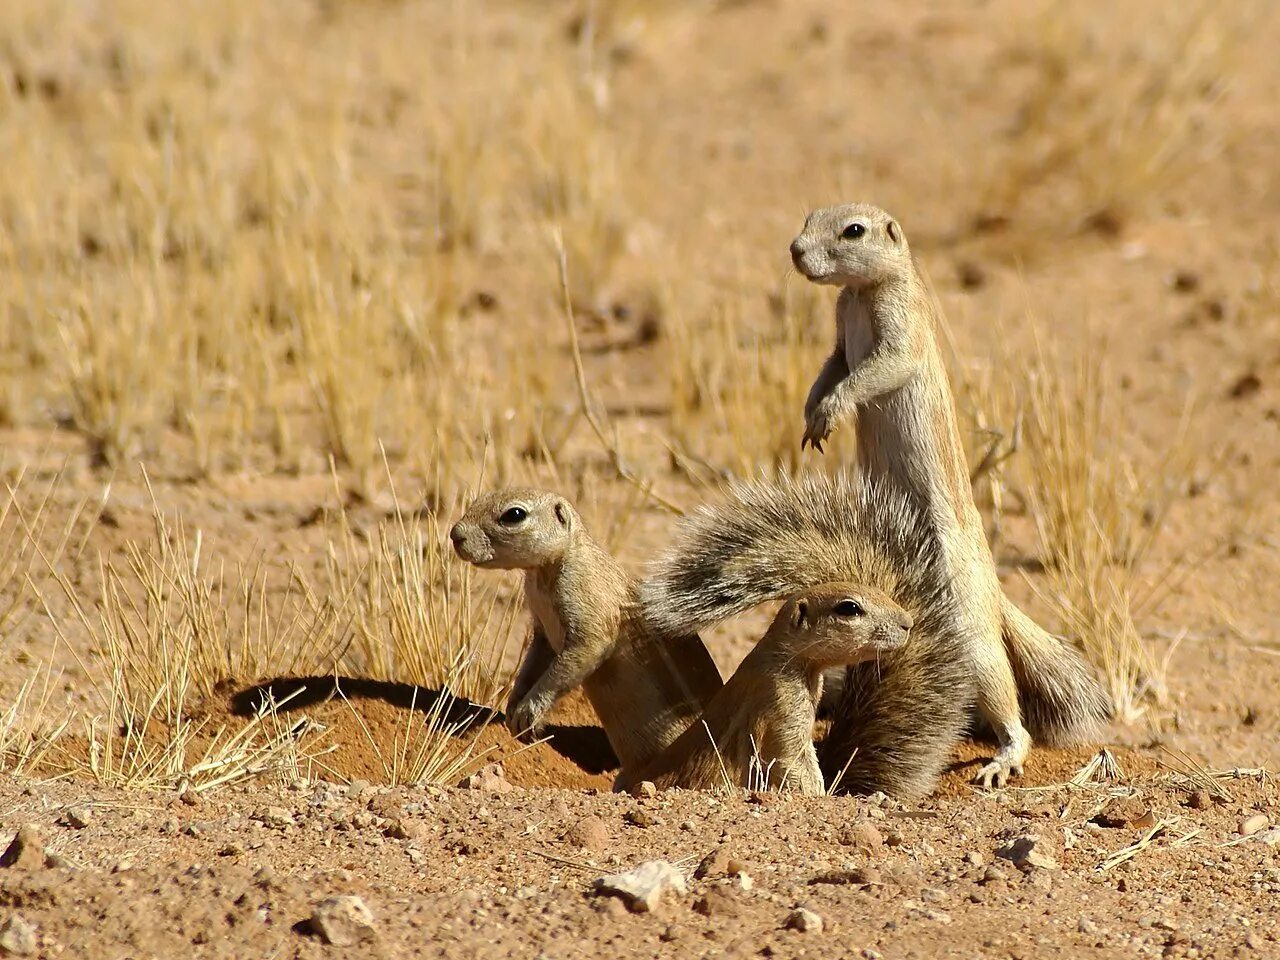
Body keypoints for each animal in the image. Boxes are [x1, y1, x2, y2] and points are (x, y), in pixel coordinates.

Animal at [450, 491, 727, 778]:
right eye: (479, 499)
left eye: (514, 514)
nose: (455, 534)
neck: (544, 574)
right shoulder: (543, 632)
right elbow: (531, 665)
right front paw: (514, 703)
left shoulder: (588, 608)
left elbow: (577, 658)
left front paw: (529, 712)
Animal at [788, 203, 1111, 788]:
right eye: (809, 217)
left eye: (853, 230)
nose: (795, 251)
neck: (861, 293)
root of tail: (995, 594)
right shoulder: (839, 336)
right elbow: (832, 365)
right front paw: (811, 415)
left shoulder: (901, 330)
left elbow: (874, 371)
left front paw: (832, 409)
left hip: (973, 638)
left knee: (1009, 704)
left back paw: (1004, 760)